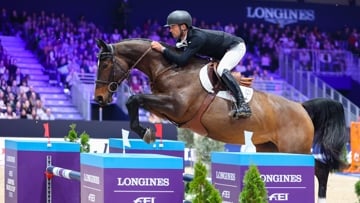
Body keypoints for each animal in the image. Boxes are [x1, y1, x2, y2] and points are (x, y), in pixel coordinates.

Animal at [94, 38, 348, 201]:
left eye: (105, 64)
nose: (99, 99)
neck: (170, 68)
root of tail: (301, 107)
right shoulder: (166, 107)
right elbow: (135, 101)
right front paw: (146, 132)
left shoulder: (176, 106)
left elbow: (134, 99)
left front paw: (146, 133)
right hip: (272, 149)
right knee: (318, 169)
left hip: (294, 150)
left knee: (321, 169)